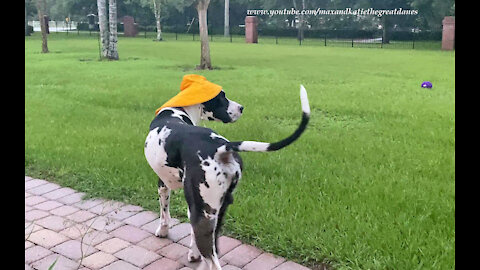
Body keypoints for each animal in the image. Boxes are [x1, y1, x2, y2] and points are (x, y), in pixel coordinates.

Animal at [144, 85, 312, 268]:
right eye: (221, 96)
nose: (241, 108)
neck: (178, 110)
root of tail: (222, 147)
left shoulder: (163, 185)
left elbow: (164, 212)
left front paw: (163, 231)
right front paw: (193, 253)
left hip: (201, 212)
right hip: (215, 212)